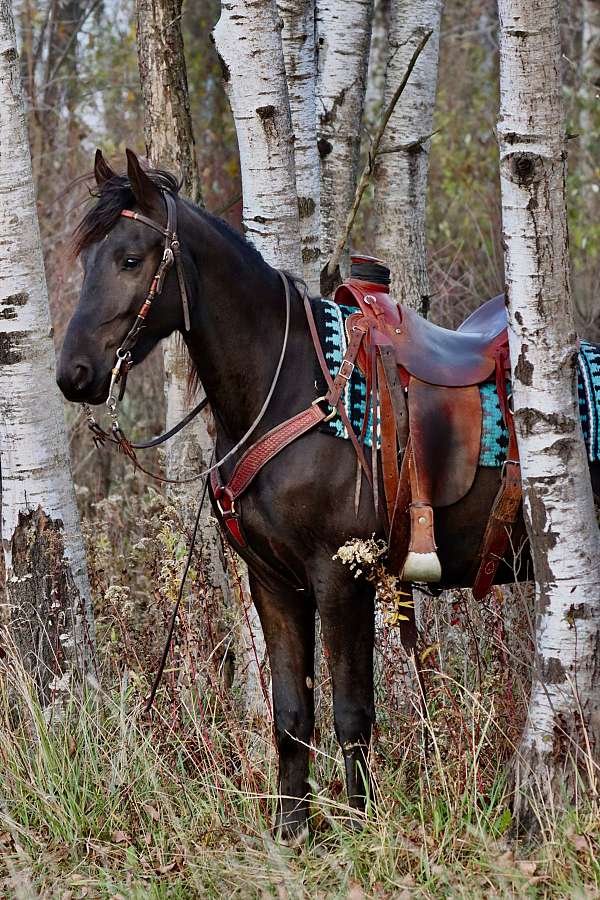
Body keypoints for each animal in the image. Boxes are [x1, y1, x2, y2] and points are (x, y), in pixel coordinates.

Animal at [57, 149, 600, 844]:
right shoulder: (273, 581)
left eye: (130, 258)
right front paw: (293, 831)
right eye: (88, 260)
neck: (287, 390)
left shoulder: (342, 577)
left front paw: (360, 825)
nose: (73, 374)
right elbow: (291, 713)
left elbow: (351, 713)